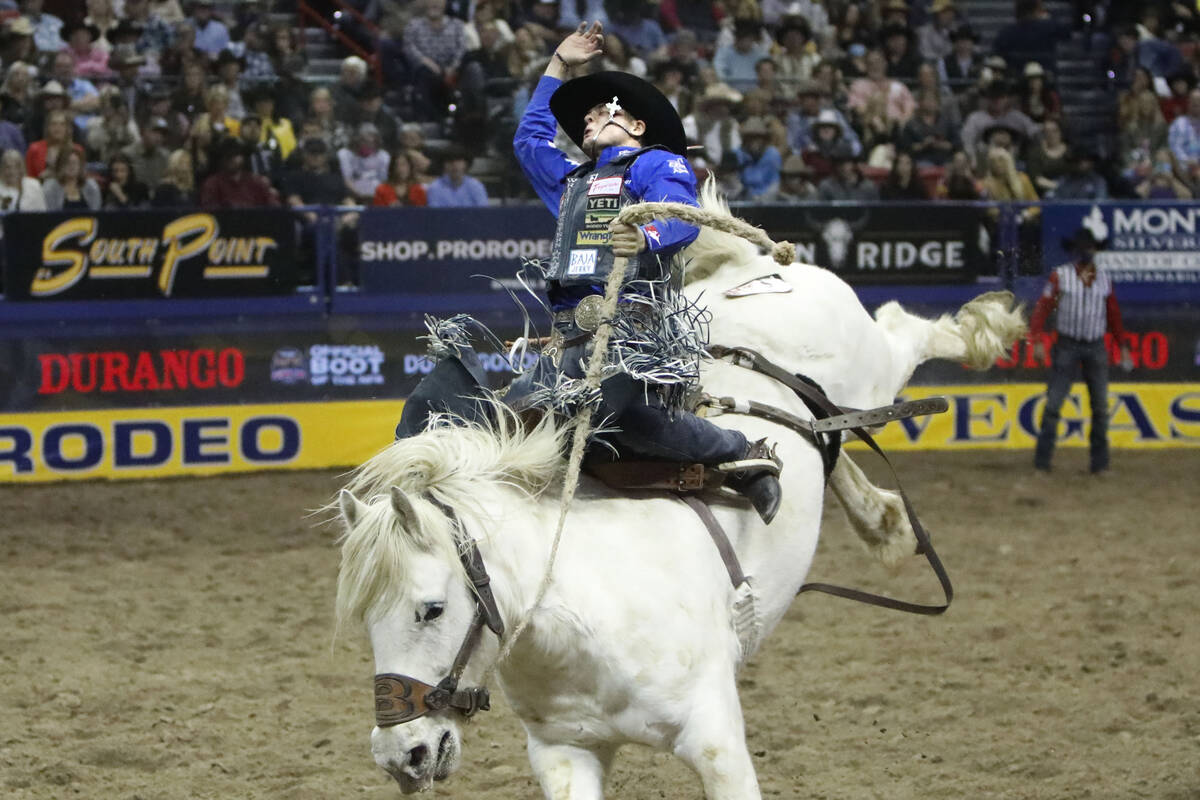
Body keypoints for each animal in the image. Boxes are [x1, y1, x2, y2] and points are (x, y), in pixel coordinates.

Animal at [333, 190, 1027, 796]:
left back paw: (989, 322)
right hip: (830, 412)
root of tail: (749, 270)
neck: (586, 607)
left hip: (873, 368)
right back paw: (885, 521)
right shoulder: (563, 753)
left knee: (904, 330)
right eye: (364, 619)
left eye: (431, 609)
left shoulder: (716, 743)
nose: (401, 755)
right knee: (832, 445)